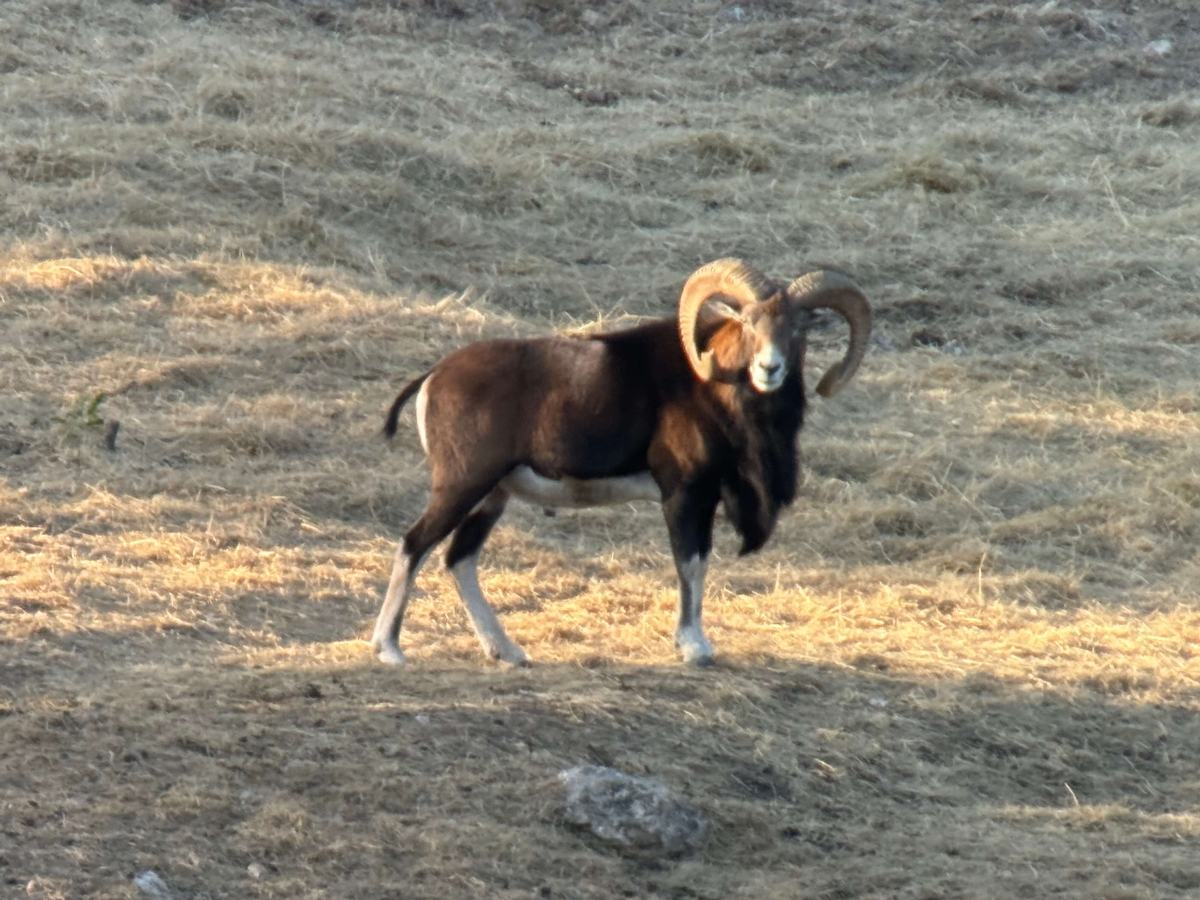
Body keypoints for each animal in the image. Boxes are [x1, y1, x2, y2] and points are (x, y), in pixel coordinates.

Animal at [372, 259, 871, 667]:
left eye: (799, 329)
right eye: (748, 324)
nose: (769, 369)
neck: (719, 393)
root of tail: (433, 377)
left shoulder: (704, 498)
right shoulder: (684, 495)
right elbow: (690, 564)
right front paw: (694, 648)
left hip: (491, 498)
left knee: (459, 559)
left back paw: (508, 652)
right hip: (463, 487)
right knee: (413, 546)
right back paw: (389, 650)